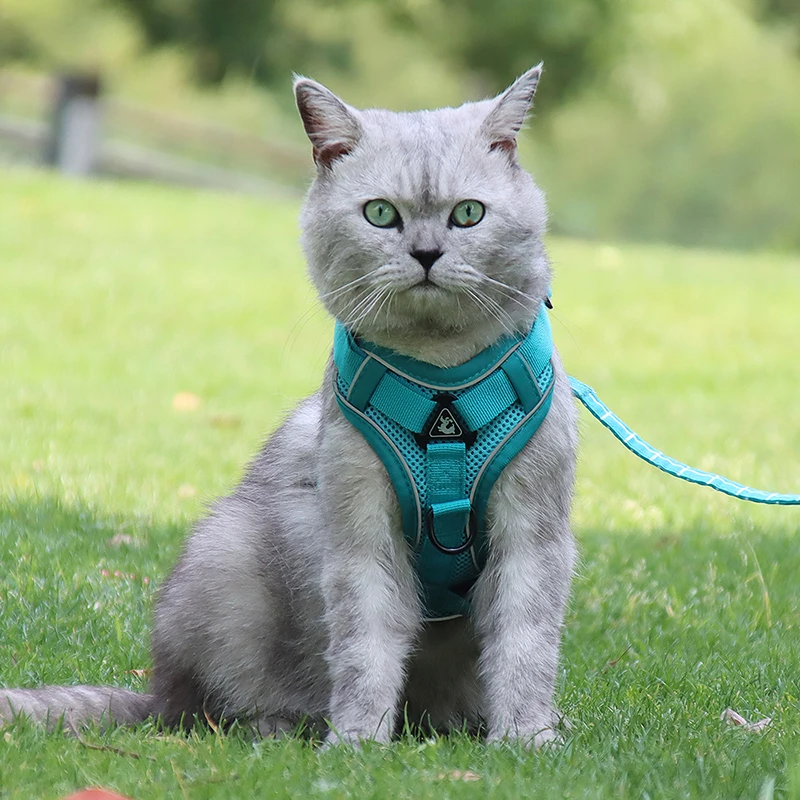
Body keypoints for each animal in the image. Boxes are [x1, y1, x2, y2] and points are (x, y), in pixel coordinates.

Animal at [0, 65, 576, 748]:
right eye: (380, 214)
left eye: (468, 214)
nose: (427, 254)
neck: (444, 395)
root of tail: (152, 694)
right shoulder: (359, 531)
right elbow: (364, 649)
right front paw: (356, 744)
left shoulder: (532, 530)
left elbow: (525, 647)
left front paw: (526, 740)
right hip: (226, 557)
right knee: (207, 711)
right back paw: (282, 727)